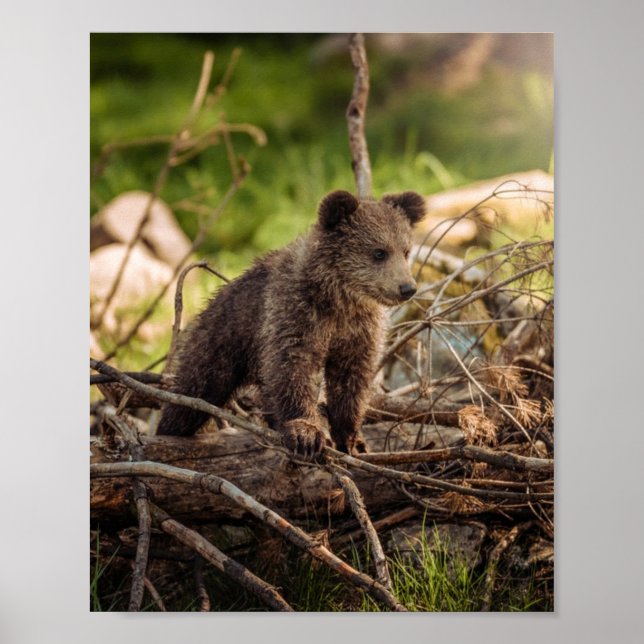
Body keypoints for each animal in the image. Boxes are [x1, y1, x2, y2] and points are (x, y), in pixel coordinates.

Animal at [156, 189, 426, 457]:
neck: (339, 299)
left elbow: (351, 380)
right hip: (220, 342)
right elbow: (293, 368)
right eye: (379, 252)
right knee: (192, 393)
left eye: (406, 251)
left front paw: (352, 440)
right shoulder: (295, 314)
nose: (407, 288)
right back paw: (169, 430)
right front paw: (306, 433)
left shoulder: (358, 330)